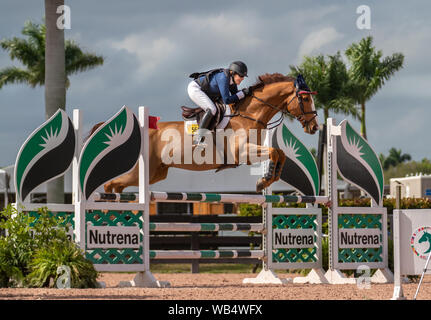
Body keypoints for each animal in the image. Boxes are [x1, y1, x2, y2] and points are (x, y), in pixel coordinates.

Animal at [99, 73, 318, 192]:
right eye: (306, 99)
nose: (314, 127)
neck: (249, 115)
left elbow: (279, 153)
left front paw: (268, 179)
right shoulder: (242, 152)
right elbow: (274, 151)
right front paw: (263, 181)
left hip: (155, 174)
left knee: (119, 185)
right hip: (143, 171)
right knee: (112, 184)